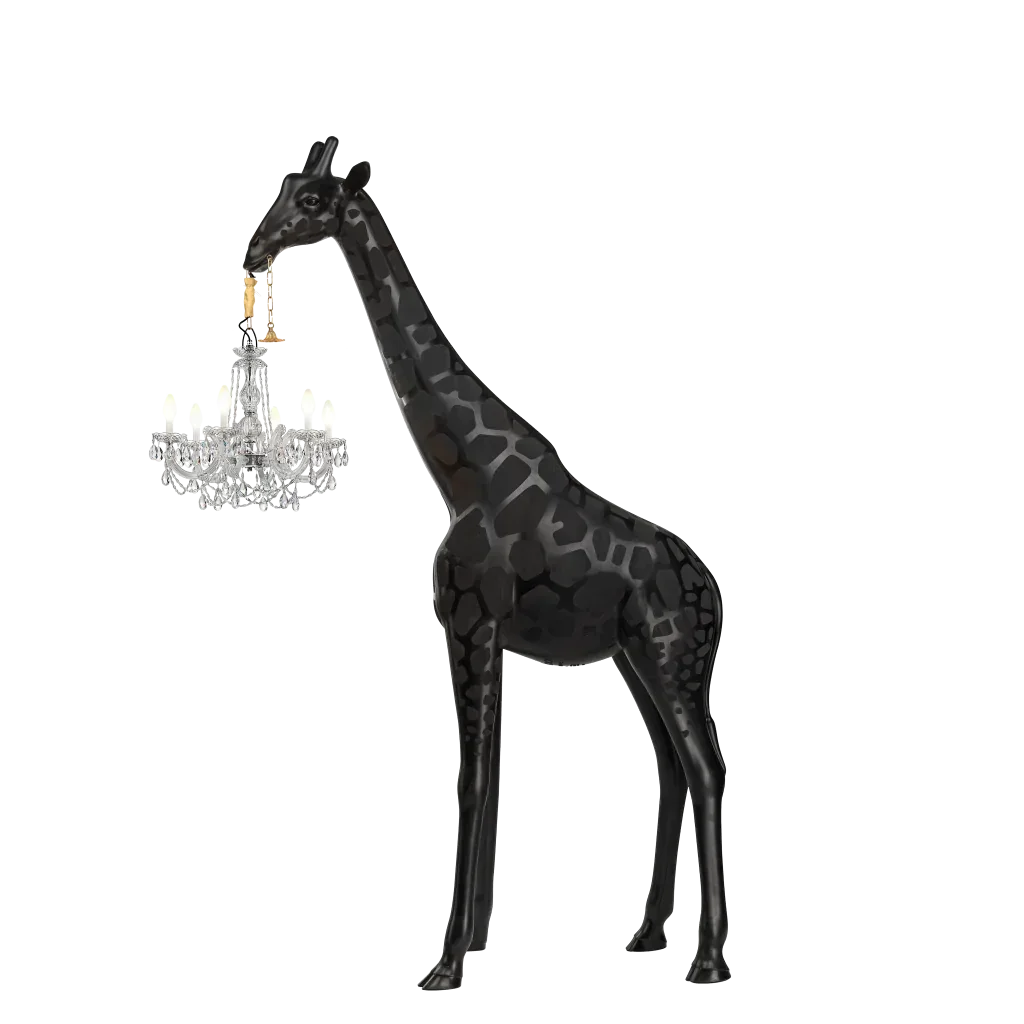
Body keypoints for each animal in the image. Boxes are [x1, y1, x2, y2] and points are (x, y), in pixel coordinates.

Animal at [243, 137, 730, 990]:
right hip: (637, 658)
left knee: (707, 769)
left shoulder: (469, 624)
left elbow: (472, 778)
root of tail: (716, 594)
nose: (253, 246)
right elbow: (492, 774)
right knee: (671, 767)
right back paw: (645, 936)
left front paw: (444, 963)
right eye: (283, 187)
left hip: (675, 659)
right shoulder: (486, 634)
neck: (464, 472)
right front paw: (469, 944)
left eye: (310, 202)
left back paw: (707, 959)